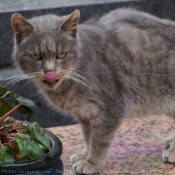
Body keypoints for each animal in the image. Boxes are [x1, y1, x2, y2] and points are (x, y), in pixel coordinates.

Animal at [11, 8, 175, 175]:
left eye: (61, 54)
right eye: (36, 56)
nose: (50, 72)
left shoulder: (109, 111)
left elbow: (99, 142)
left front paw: (91, 163)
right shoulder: (85, 115)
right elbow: (88, 137)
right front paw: (84, 155)